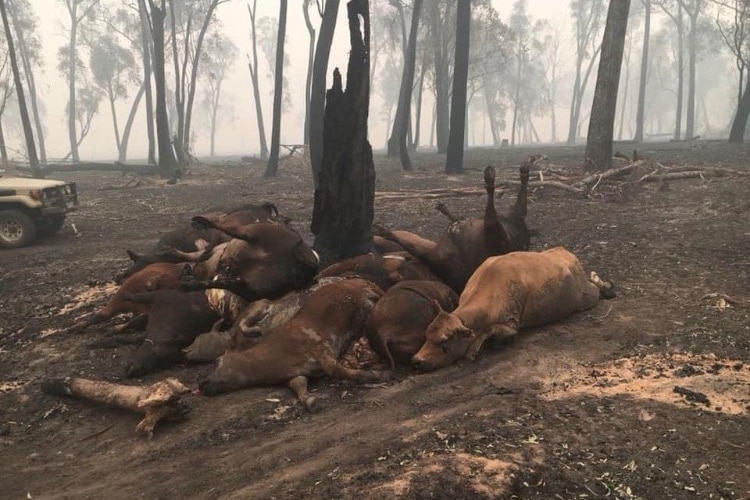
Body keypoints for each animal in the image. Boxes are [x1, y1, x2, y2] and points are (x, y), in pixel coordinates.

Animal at [200, 278, 394, 410]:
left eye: (216, 362)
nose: (202, 383)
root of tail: (365, 281)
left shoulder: (320, 348)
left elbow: (335, 370)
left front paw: (378, 375)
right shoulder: (297, 373)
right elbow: (298, 383)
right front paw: (308, 399)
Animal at [374, 160, 536, 292]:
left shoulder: (439, 260)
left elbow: (411, 246)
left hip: (495, 233)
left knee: (491, 217)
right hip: (512, 218)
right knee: (518, 208)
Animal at [412, 248, 616, 374]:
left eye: (444, 342)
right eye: (426, 336)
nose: (416, 360)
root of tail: (564, 253)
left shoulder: (511, 324)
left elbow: (489, 330)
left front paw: (473, 350)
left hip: (585, 297)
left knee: (596, 289)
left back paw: (605, 285)